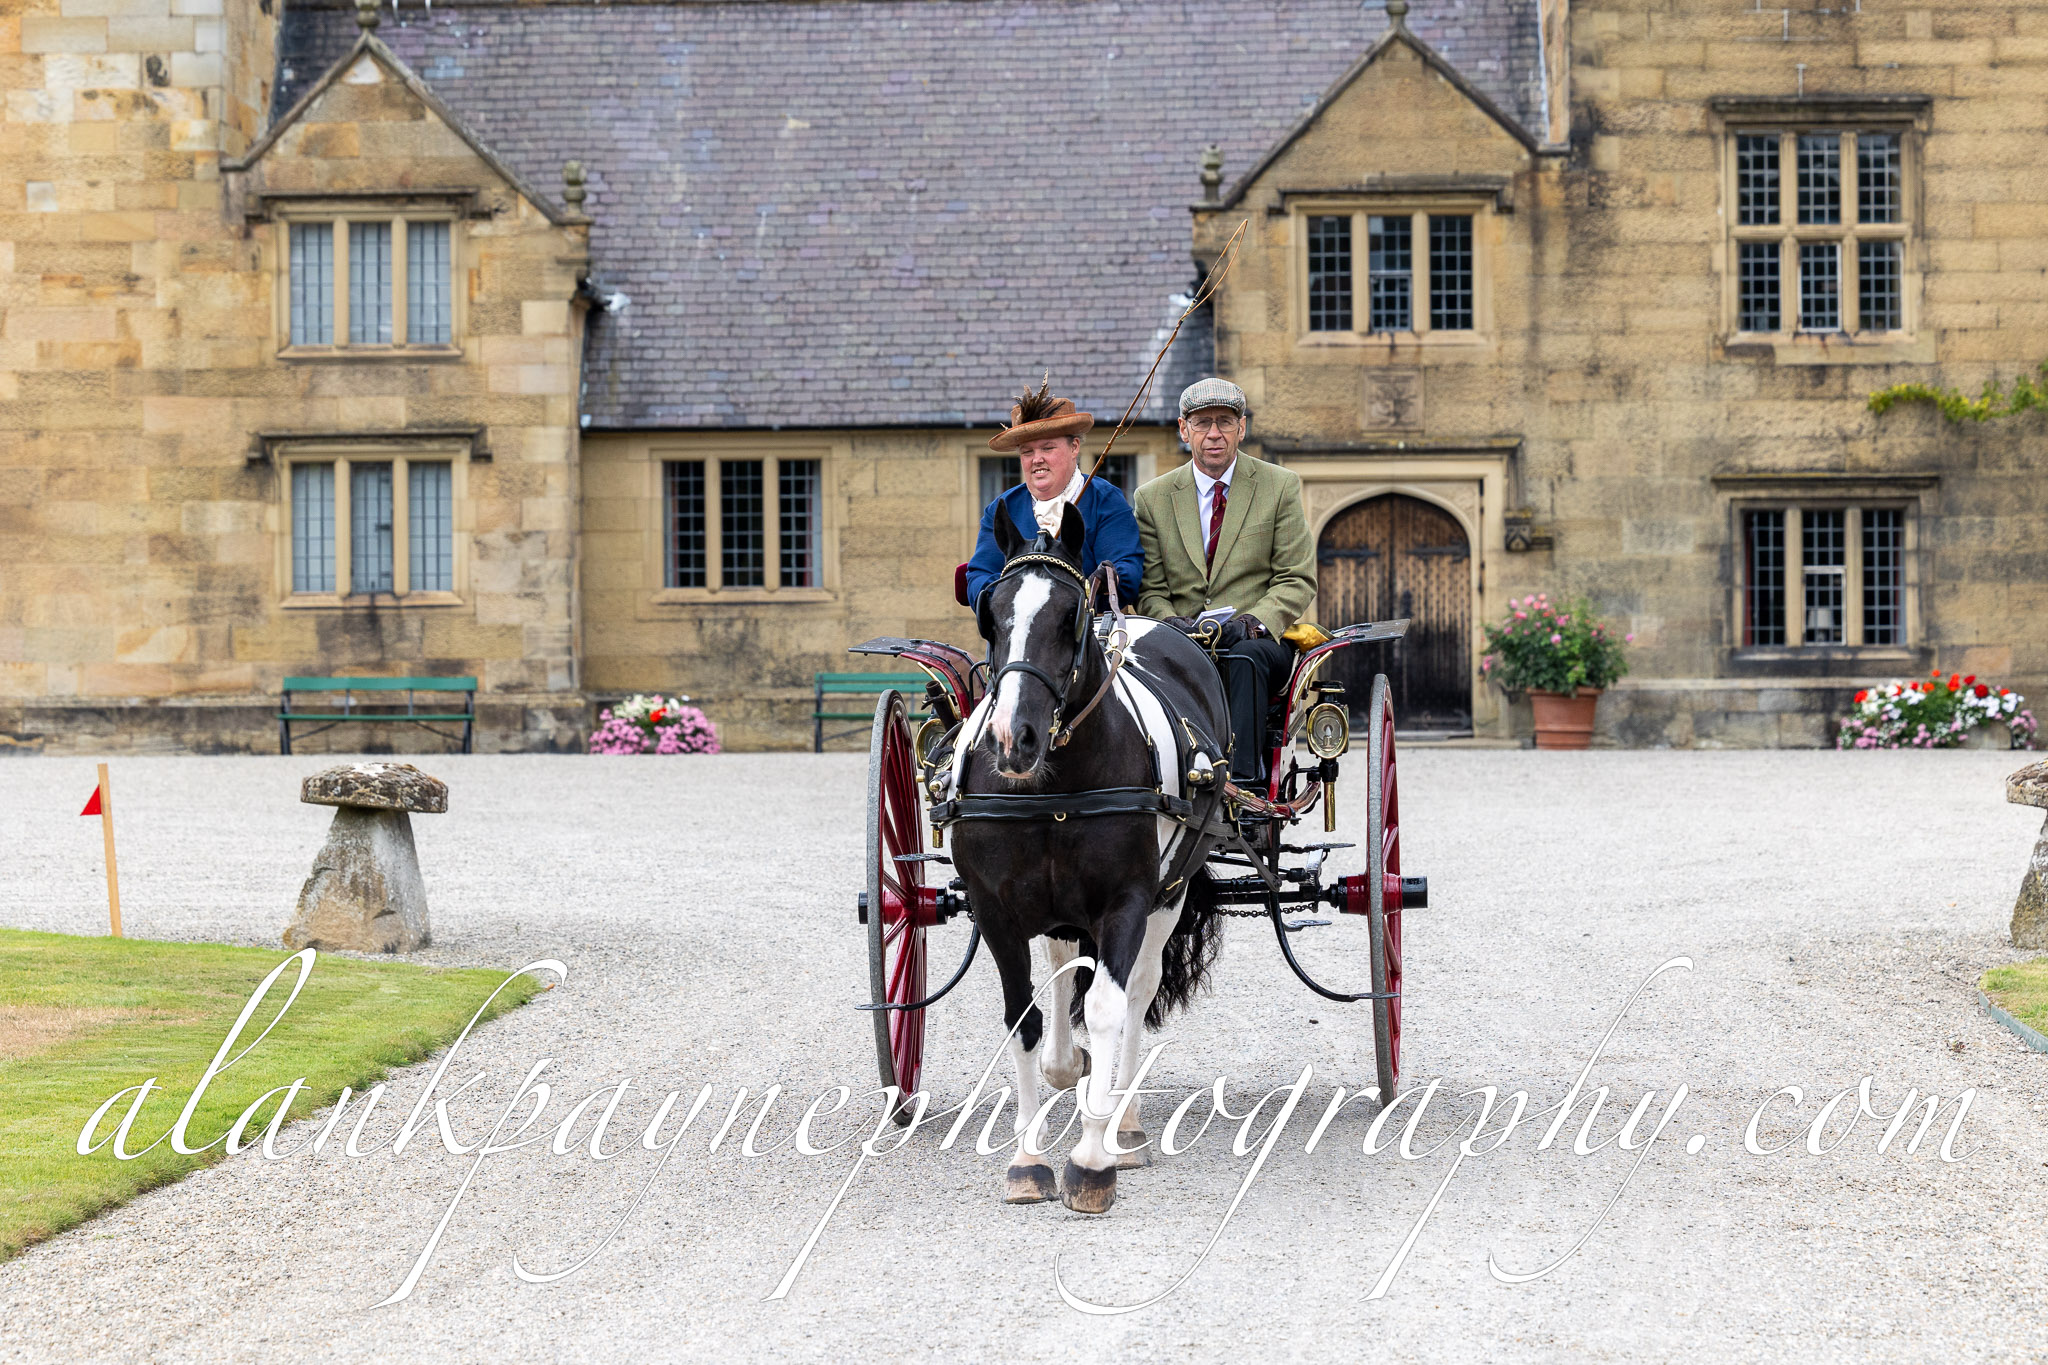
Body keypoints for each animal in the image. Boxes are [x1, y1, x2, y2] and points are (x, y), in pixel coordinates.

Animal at [946, 503, 1233, 1214]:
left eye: (1069, 615)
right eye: (991, 614)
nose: (1012, 741)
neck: (1053, 783)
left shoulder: (1126, 900)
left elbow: (1108, 1006)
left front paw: (1092, 1158)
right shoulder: (995, 909)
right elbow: (1022, 1016)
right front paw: (1026, 1158)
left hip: (1168, 893)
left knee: (1136, 992)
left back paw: (1122, 1123)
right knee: (1060, 968)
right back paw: (1067, 1069)